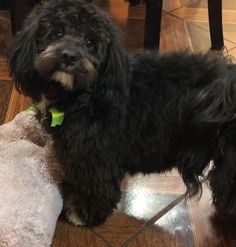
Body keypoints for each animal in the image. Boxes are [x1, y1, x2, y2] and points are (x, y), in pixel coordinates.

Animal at [8, 0, 236, 227]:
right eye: (57, 33)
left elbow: (95, 185)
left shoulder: (97, 156)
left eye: (90, 42)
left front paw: (84, 212)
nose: (69, 56)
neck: (84, 95)